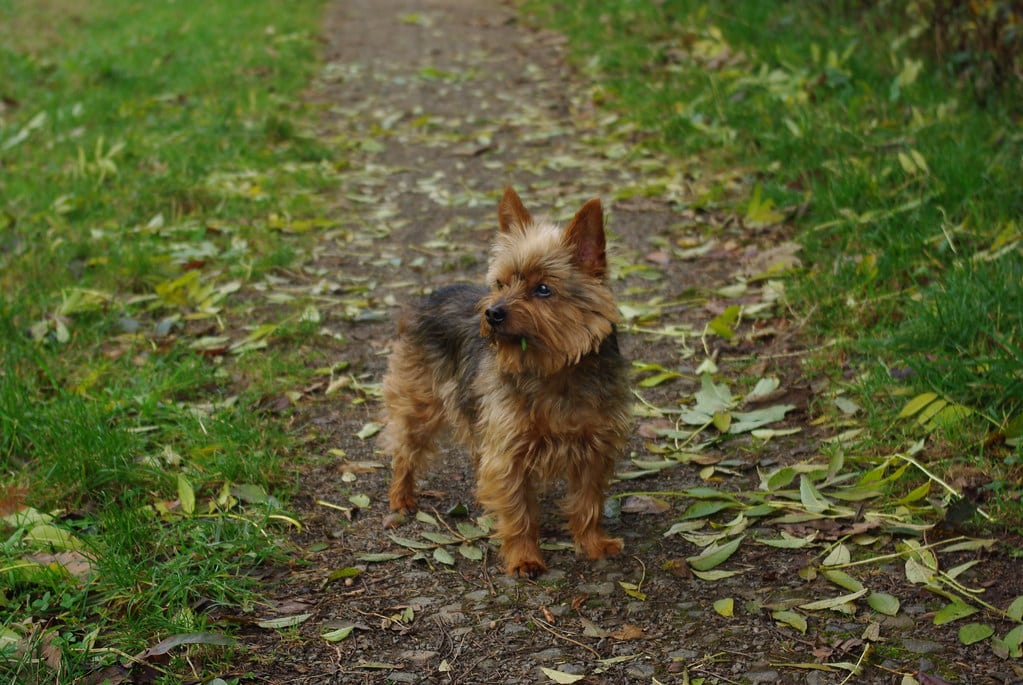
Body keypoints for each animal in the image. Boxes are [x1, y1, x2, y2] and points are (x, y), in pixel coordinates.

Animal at [378, 185, 630, 576]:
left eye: (543, 289)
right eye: (501, 283)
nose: (492, 312)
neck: (553, 370)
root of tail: (432, 295)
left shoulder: (594, 447)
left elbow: (588, 501)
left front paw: (593, 543)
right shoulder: (509, 450)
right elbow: (518, 509)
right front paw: (525, 557)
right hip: (419, 402)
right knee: (405, 448)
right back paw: (401, 498)